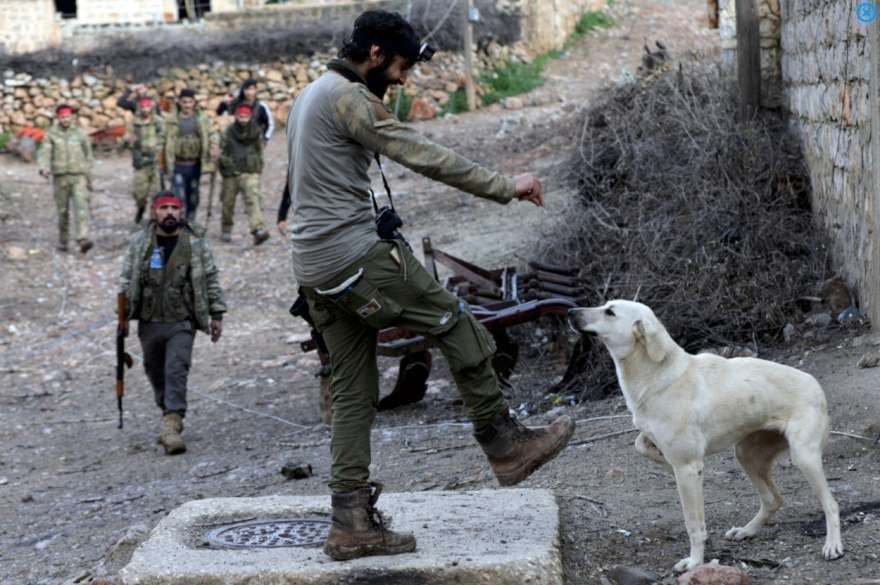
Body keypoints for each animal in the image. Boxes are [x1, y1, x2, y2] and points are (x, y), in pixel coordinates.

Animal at [568, 302, 844, 572]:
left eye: (610, 311)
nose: (570, 311)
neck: (655, 374)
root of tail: (816, 386)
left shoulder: (688, 468)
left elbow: (694, 525)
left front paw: (694, 562)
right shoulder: (665, 449)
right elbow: (640, 444)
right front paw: (659, 457)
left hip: (803, 457)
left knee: (830, 504)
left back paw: (832, 545)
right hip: (747, 455)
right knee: (773, 499)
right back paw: (747, 530)